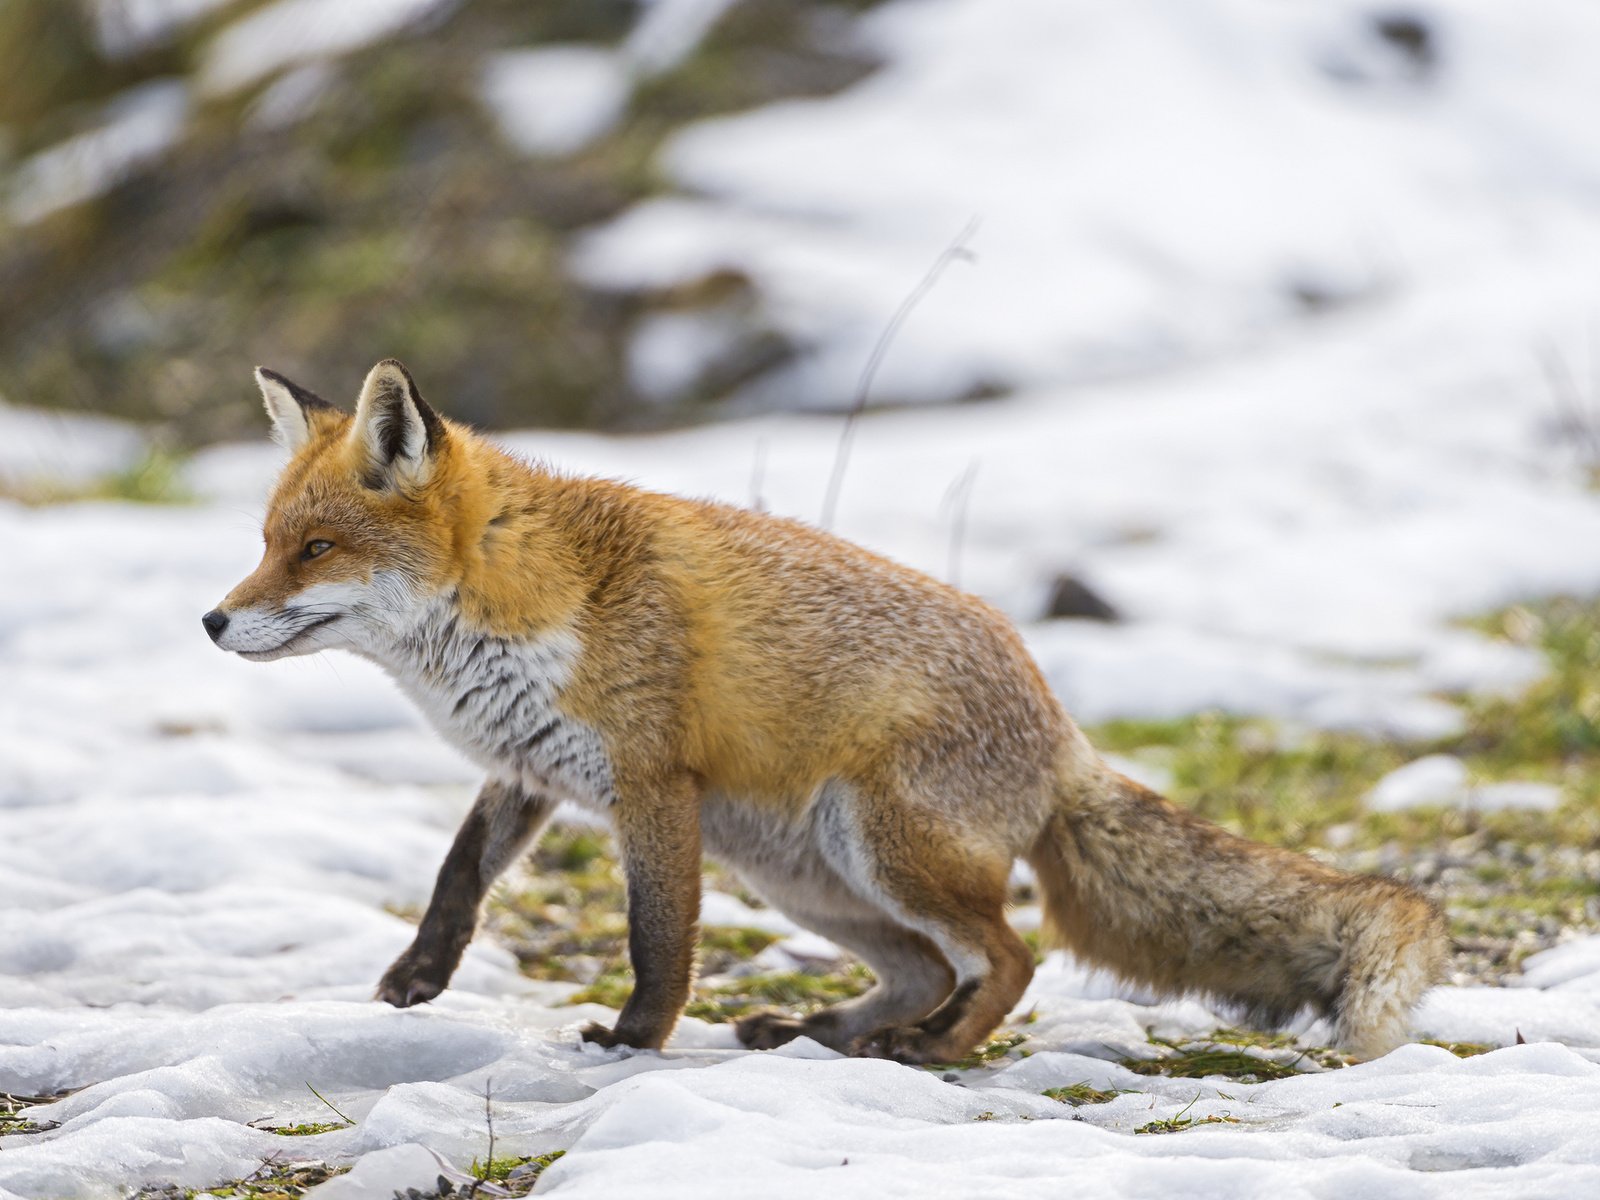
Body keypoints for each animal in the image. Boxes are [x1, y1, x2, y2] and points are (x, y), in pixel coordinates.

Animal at [203, 356, 1452, 1062]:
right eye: (264, 543)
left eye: (314, 550)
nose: (212, 622)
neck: (522, 595)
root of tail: (1059, 730)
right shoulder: (530, 768)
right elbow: (457, 878)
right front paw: (415, 982)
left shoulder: (650, 787)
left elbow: (658, 942)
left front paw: (633, 1042)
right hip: (802, 876)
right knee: (928, 969)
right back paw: (830, 1032)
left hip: (878, 846)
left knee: (1008, 960)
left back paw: (931, 1052)